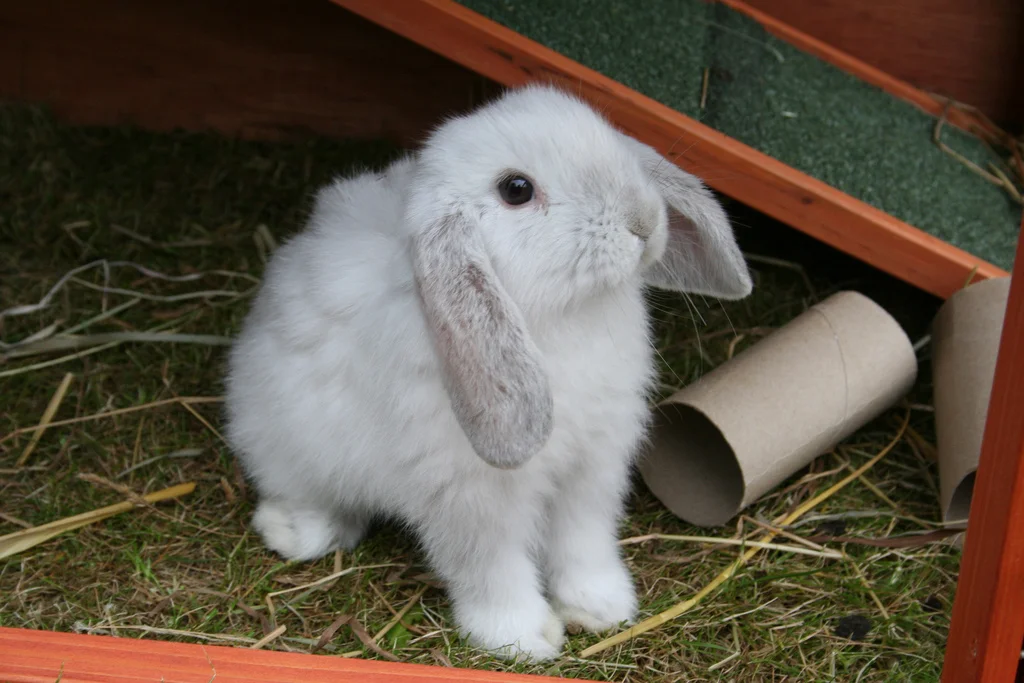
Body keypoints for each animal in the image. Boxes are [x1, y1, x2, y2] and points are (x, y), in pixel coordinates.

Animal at [223, 83, 752, 662]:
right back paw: (293, 531)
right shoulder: (471, 499)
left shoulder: (592, 468)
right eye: (516, 190)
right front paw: (524, 638)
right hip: (285, 446)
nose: (643, 222)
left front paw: (602, 608)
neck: (560, 316)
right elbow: (491, 568)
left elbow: (583, 542)